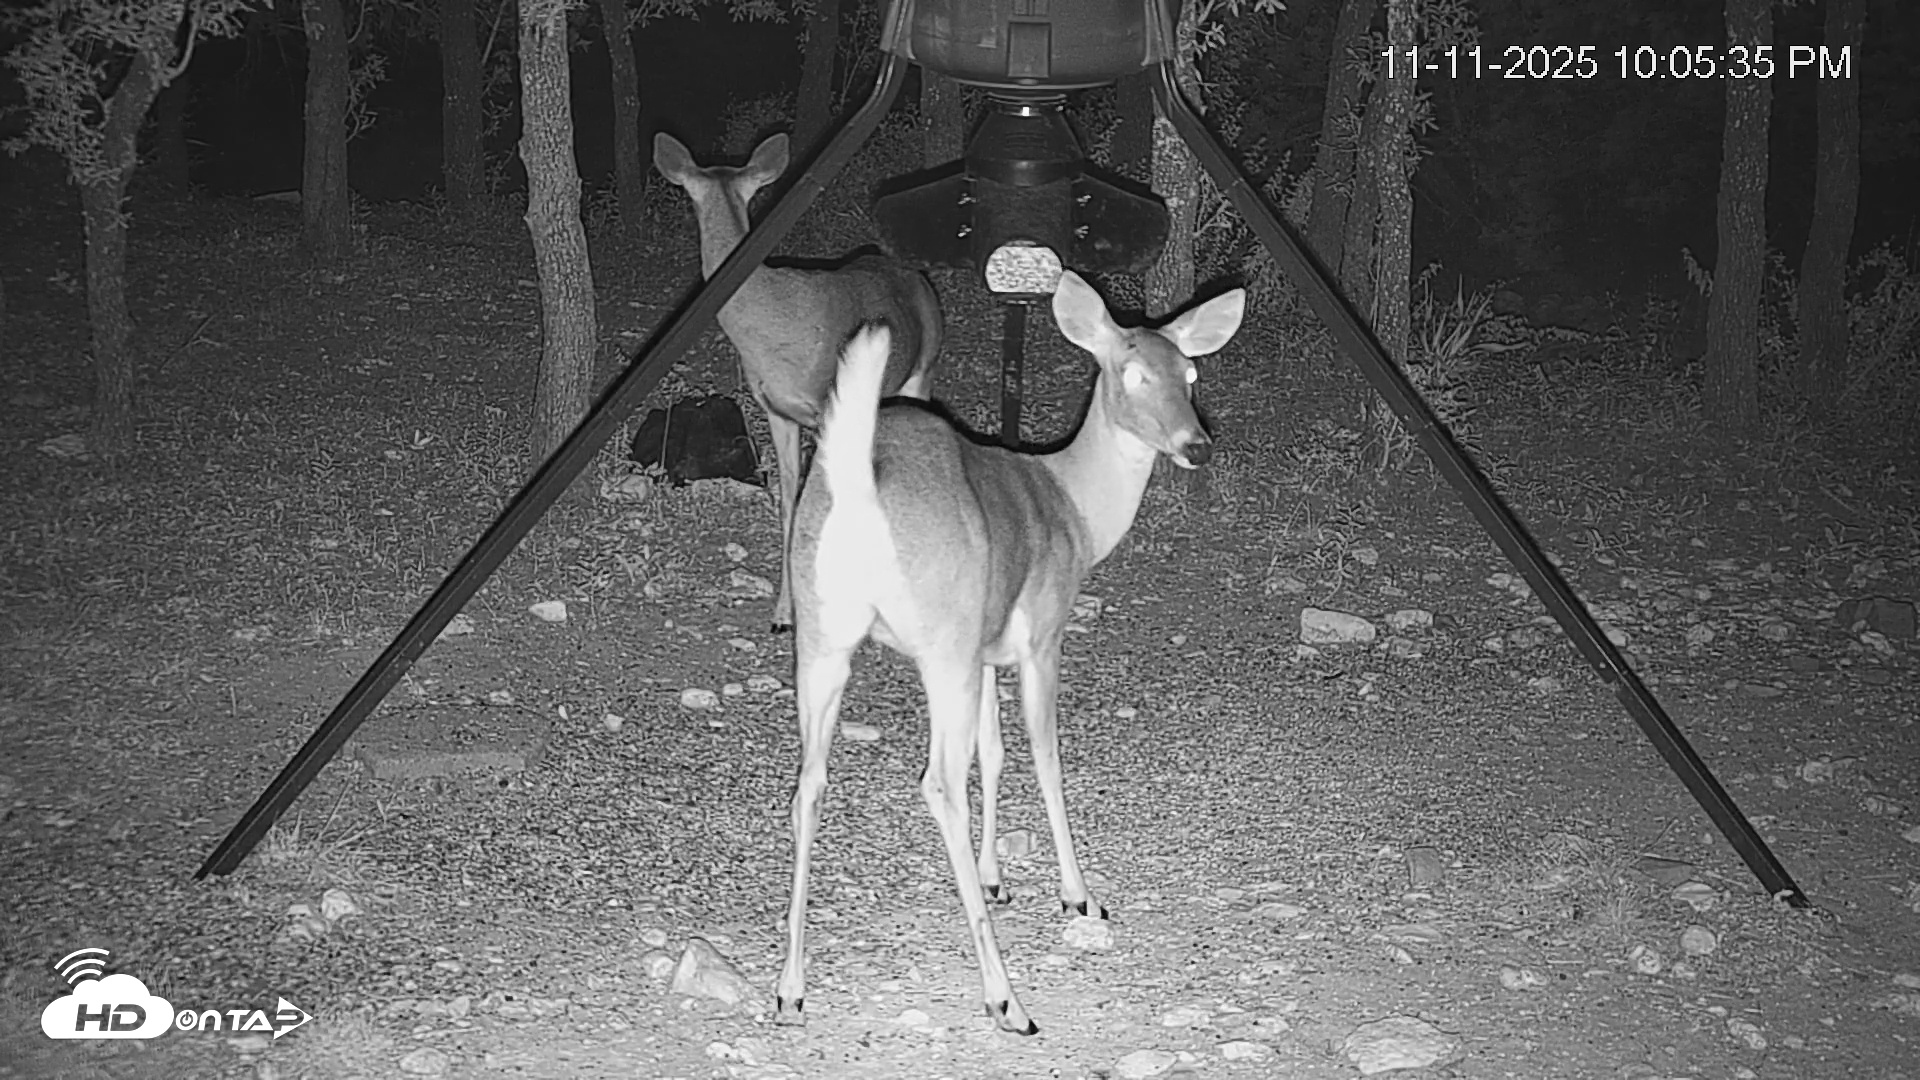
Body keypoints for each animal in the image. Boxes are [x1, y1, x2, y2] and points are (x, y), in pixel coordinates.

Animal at [652, 131, 944, 631]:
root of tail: (914, 276)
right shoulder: (776, 409)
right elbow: (790, 502)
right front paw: (784, 613)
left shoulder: (825, 406)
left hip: (921, 371)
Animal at [776, 270, 1246, 1034]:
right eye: (1130, 372)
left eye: (1192, 372)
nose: (1196, 445)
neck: (1076, 507)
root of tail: (858, 485)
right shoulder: (1040, 634)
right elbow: (1046, 758)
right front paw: (1080, 894)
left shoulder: (986, 649)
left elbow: (992, 756)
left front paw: (996, 878)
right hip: (940, 640)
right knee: (936, 783)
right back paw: (1007, 999)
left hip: (825, 636)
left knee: (809, 786)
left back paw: (790, 986)